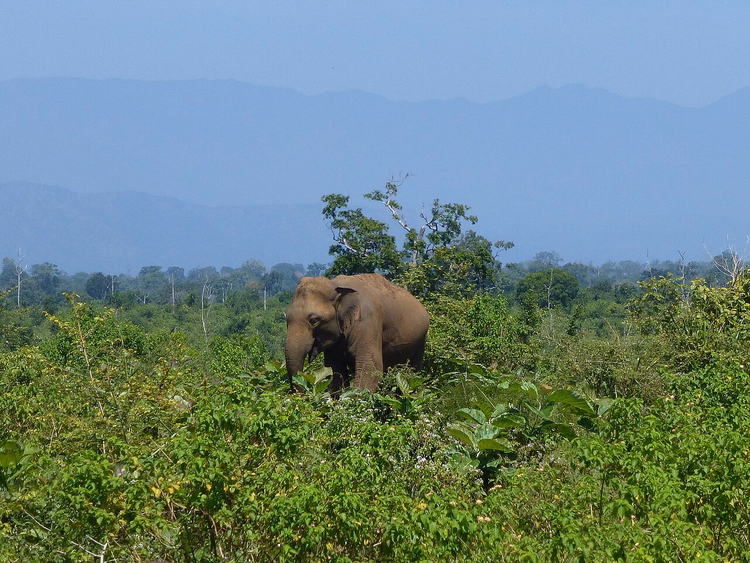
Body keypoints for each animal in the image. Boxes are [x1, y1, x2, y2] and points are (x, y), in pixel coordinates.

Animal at [285, 273, 429, 394]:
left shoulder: (368, 323)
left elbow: (370, 368)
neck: (335, 285)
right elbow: (335, 371)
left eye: (314, 320)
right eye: (286, 318)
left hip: (420, 343)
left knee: (410, 375)